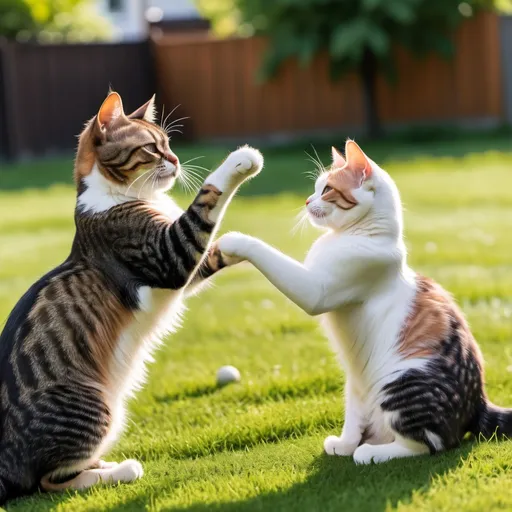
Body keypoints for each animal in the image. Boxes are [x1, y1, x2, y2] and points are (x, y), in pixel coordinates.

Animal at [0, 91, 264, 500]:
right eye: (152, 148)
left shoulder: (182, 265)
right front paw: (241, 160)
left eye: (169, 144)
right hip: (97, 408)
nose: (175, 160)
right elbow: (207, 198)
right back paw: (120, 471)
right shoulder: (169, 254)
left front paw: (238, 242)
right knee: (47, 482)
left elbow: (213, 249)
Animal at [216, 139, 512, 464]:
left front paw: (233, 240)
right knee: (360, 416)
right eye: (315, 188)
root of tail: (479, 402)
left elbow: (270, 256)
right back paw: (347, 445)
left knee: (429, 443)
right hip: (357, 383)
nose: (306, 201)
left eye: (326, 189)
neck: (352, 236)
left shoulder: (316, 289)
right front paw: (345, 444)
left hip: (401, 382)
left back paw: (371, 453)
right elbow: (354, 422)